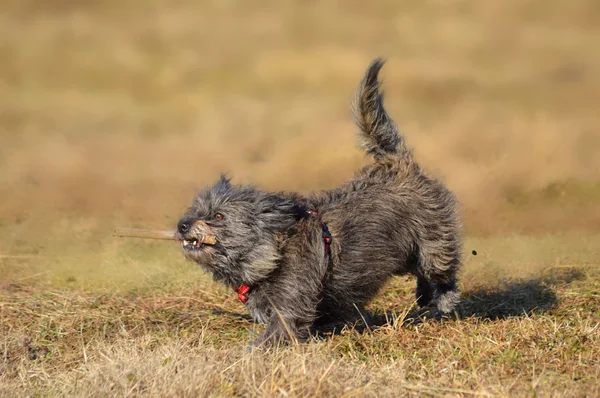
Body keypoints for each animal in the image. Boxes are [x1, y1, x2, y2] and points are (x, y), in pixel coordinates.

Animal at [176, 57, 462, 346]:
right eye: (195, 210)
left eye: (219, 216)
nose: (182, 225)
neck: (273, 251)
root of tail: (396, 164)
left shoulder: (290, 307)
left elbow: (275, 333)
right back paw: (424, 295)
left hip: (433, 243)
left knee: (442, 269)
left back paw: (444, 298)